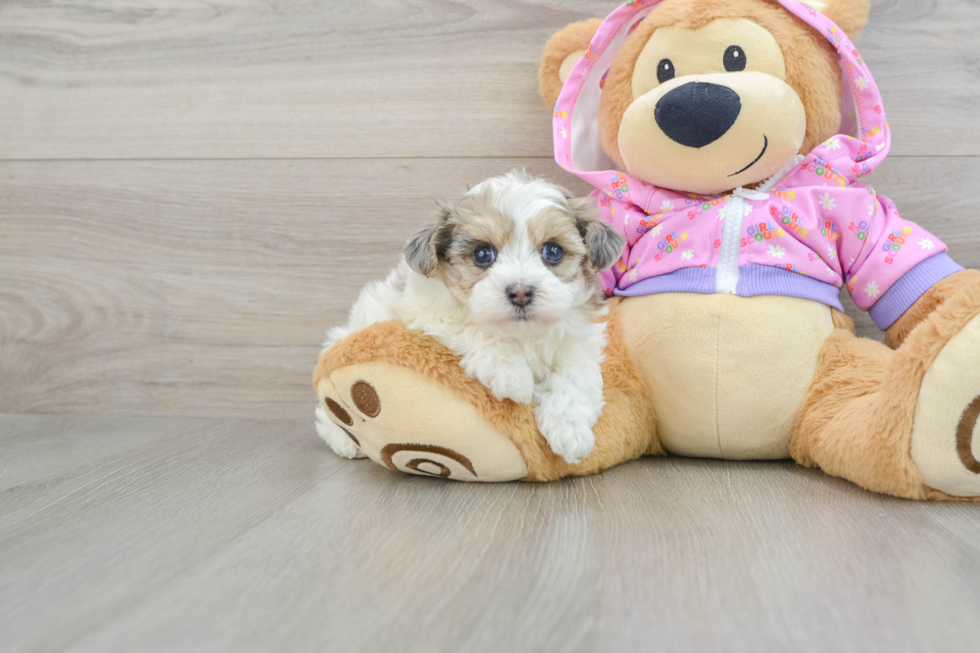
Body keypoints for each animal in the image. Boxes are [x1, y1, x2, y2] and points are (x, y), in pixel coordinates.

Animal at [318, 169, 624, 464]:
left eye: (553, 251)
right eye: (482, 254)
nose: (521, 292)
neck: (522, 334)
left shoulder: (580, 337)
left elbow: (576, 372)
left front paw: (570, 429)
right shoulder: (428, 310)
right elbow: (473, 328)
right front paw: (513, 375)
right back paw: (344, 438)